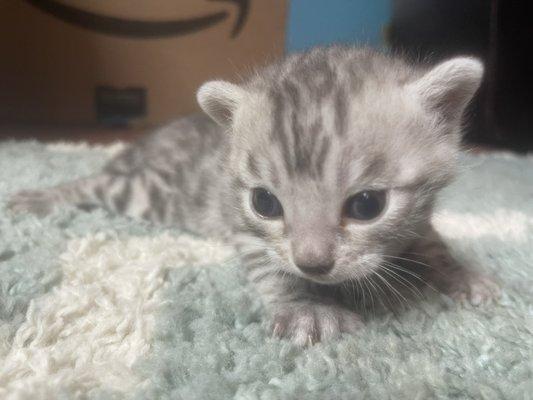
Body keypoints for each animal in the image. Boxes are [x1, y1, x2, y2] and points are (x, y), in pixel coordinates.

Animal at [7, 47, 498, 346]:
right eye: (265, 203)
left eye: (367, 206)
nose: (312, 264)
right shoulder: (243, 228)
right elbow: (271, 265)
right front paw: (306, 308)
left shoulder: (419, 219)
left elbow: (433, 242)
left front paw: (461, 274)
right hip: (147, 193)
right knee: (93, 184)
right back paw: (39, 197)